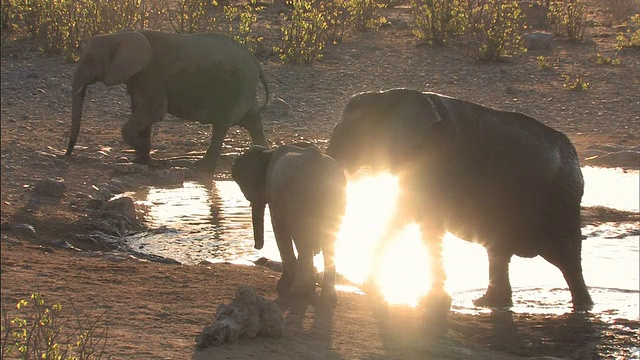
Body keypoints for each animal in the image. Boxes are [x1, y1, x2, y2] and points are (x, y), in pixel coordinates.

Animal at [67, 28, 270, 172]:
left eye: (91, 60)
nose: (67, 155)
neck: (119, 35)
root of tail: (255, 62)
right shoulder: (138, 77)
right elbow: (142, 111)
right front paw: (141, 161)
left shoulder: (150, 73)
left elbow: (153, 111)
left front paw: (143, 153)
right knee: (254, 123)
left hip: (234, 87)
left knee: (221, 126)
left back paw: (201, 168)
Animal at [232, 145, 348, 306]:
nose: (256, 247)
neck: (267, 151)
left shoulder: (273, 194)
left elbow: (278, 228)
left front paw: (282, 288)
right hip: (335, 199)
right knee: (329, 240)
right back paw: (326, 298)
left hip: (299, 198)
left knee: (302, 238)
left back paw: (298, 292)